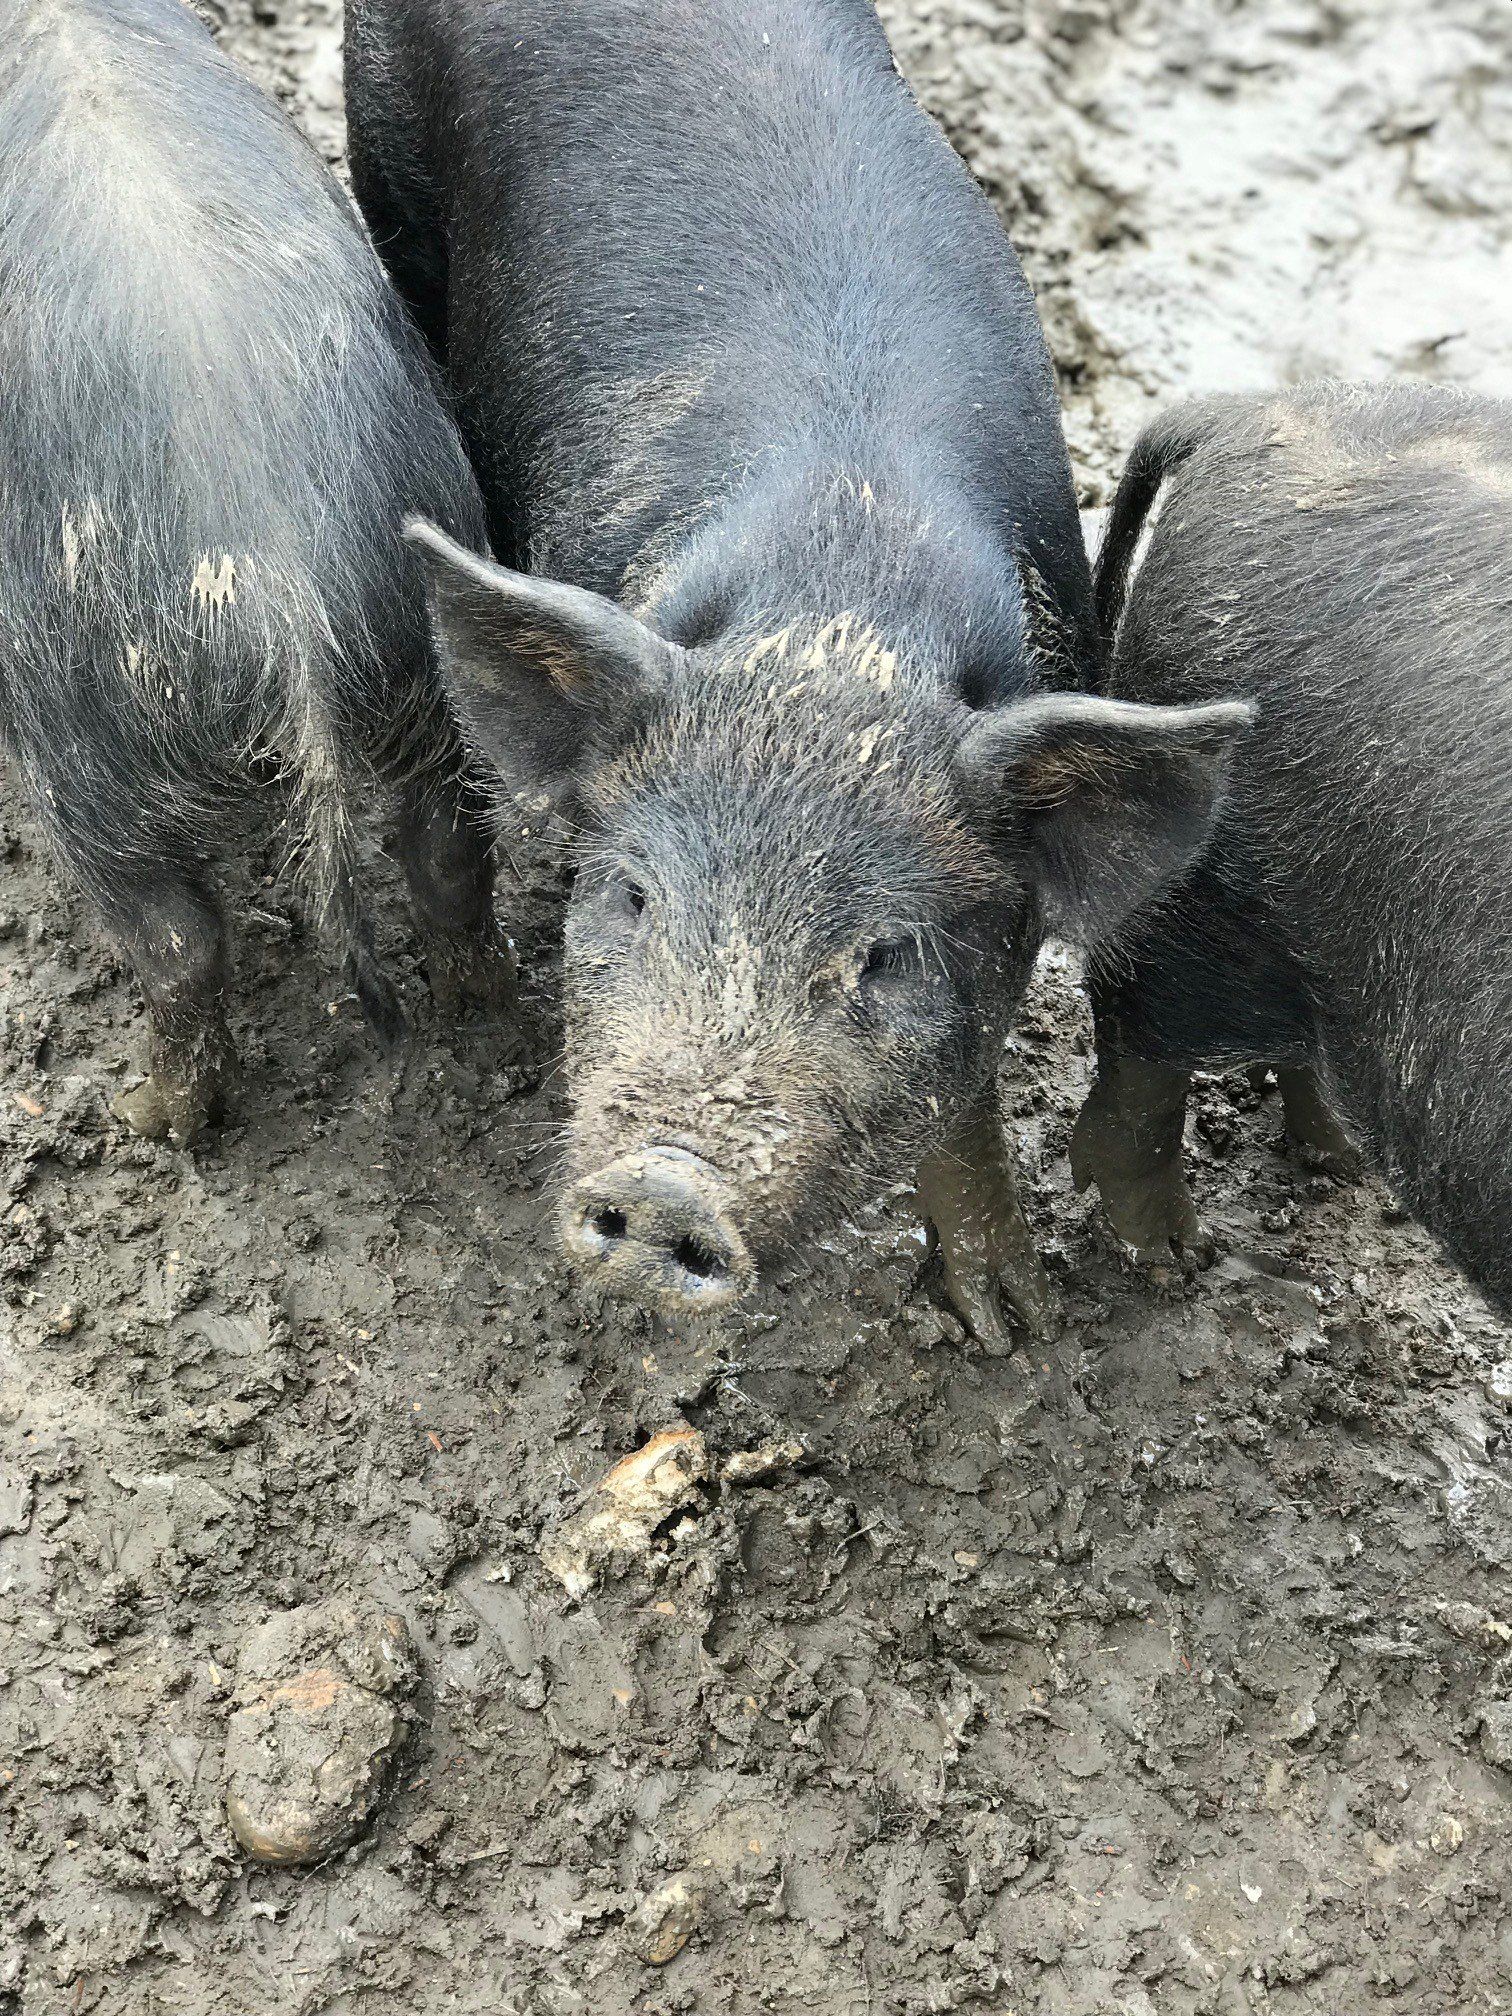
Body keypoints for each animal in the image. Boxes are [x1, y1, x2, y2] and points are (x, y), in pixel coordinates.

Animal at [0, 0, 511, 1147]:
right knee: (449, 852)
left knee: (178, 944)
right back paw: (488, 1020)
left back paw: (150, 1118)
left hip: (86, 747)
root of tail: (283, 585)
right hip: (430, 661)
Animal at [346, 0, 1249, 1338]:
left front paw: (1008, 1329)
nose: (664, 1188)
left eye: (885, 956)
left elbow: (963, 1096)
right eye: (631, 895)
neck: (839, 616)